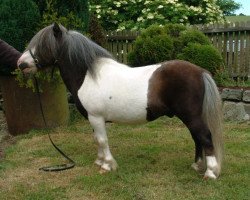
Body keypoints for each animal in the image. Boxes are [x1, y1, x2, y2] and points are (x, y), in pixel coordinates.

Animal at [18, 22, 224, 179]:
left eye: (42, 45)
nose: (21, 64)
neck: (88, 76)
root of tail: (200, 71)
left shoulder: (96, 117)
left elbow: (102, 140)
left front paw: (107, 166)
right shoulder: (93, 119)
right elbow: (97, 139)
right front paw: (99, 161)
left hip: (191, 116)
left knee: (205, 137)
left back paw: (210, 173)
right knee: (197, 138)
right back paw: (198, 166)